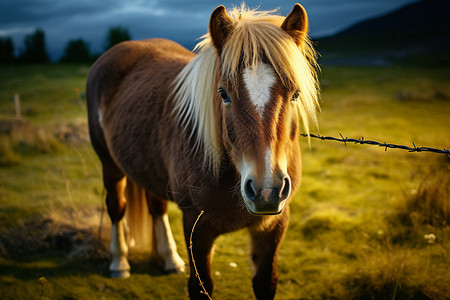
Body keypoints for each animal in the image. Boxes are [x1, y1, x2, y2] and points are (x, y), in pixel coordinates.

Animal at [87, 2, 320, 300]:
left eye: (295, 94)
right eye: (223, 94)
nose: (266, 190)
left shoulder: (273, 228)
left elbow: (265, 282)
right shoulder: (197, 228)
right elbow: (201, 286)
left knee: (156, 206)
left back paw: (170, 259)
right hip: (110, 164)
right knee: (117, 206)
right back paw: (119, 263)